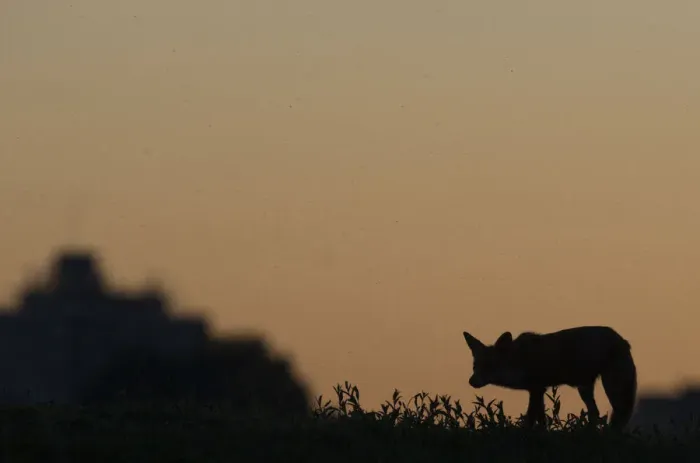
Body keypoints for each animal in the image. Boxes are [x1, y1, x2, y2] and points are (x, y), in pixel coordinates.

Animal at [462, 326, 637, 429]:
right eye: (475, 367)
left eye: (489, 366)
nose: (471, 381)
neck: (519, 359)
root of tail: (622, 340)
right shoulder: (538, 389)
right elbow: (541, 419)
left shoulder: (537, 388)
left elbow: (530, 418)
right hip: (585, 389)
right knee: (595, 412)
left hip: (612, 387)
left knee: (617, 413)